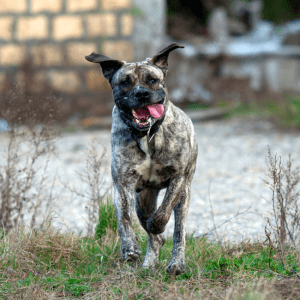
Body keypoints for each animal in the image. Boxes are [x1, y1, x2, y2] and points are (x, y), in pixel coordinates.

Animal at [85, 43, 197, 276]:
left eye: (152, 80)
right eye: (125, 82)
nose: (142, 93)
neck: (147, 135)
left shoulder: (179, 178)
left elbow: (164, 211)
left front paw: (157, 224)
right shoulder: (123, 184)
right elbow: (123, 218)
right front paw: (130, 248)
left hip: (184, 195)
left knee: (178, 231)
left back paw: (176, 263)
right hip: (143, 200)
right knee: (154, 237)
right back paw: (148, 265)